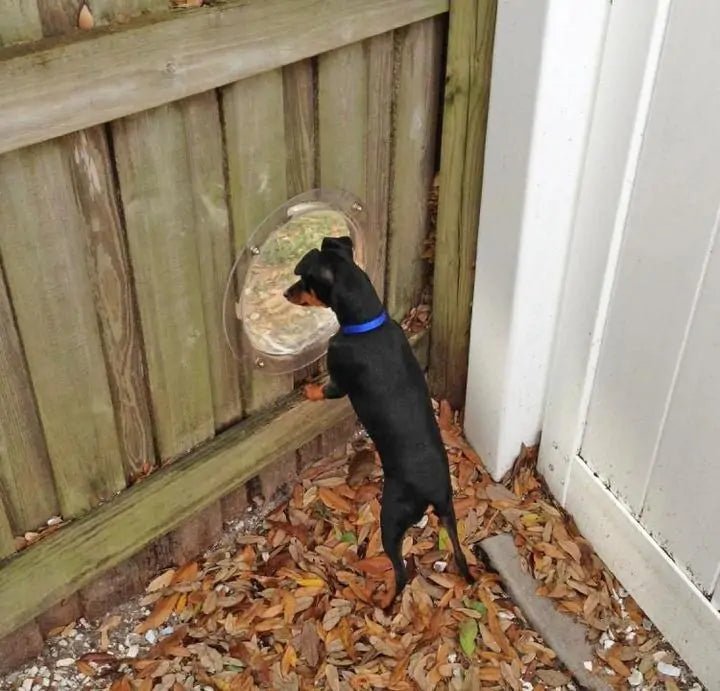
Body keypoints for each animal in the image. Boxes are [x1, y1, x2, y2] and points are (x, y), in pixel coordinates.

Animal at [284, 237, 476, 604]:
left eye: (305, 280)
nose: (286, 293)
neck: (366, 322)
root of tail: (434, 492)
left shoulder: (339, 382)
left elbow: (324, 391)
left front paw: (309, 389)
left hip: (391, 520)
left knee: (402, 571)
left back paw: (384, 602)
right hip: (450, 513)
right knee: (458, 553)